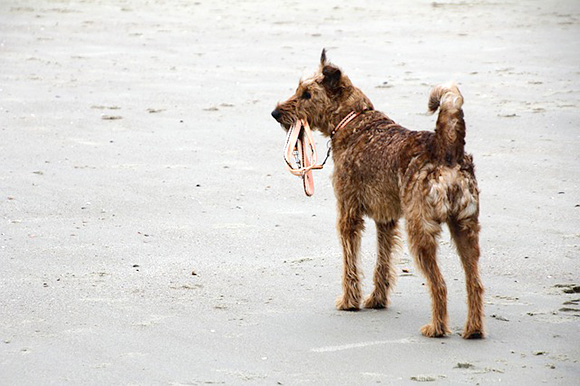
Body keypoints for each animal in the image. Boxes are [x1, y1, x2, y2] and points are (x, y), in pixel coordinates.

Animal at [272, 49, 484, 338]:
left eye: (306, 94)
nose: (275, 112)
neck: (353, 120)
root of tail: (447, 148)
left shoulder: (348, 213)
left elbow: (350, 262)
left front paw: (349, 301)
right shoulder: (386, 219)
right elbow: (382, 262)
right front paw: (376, 300)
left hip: (420, 230)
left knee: (439, 284)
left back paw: (436, 327)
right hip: (466, 227)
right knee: (475, 283)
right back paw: (474, 329)